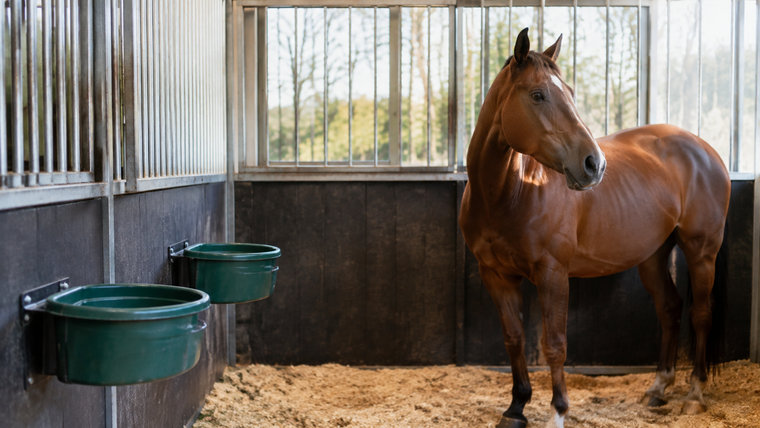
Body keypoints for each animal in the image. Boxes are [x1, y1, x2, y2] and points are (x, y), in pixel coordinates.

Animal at [458, 28, 730, 428]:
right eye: (537, 94)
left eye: (570, 92)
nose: (594, 164)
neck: (508, 193)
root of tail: (705, 150)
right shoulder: (495, 274)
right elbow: (514, 338)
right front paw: (516, 407)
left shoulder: (553, 274)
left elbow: (555, 344)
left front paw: (558, 411)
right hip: (653, 255)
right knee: (670, 309)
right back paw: (657, 388)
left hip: (701, 251)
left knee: (700, 315)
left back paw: (694, 394)